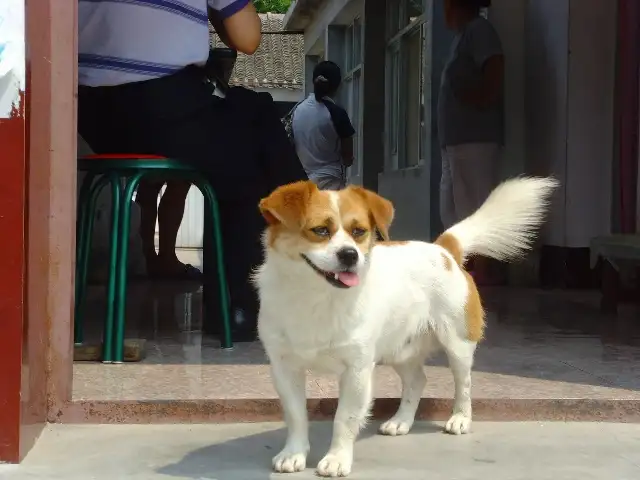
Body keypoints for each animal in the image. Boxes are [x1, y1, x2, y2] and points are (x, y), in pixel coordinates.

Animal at [254, 175, 556, 476]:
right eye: (320, 230)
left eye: (359, 232)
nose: (350, 255)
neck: (316, 297)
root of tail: (443, 249)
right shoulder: (284, 369)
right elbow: (296, 416)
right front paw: (294, 453)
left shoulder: (357, 371)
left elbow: (344, 418)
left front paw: (337, 458)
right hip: (399, 349)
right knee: (417, 381)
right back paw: (401, 420)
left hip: (457, 345)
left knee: (464, 384)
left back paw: (460, 418)